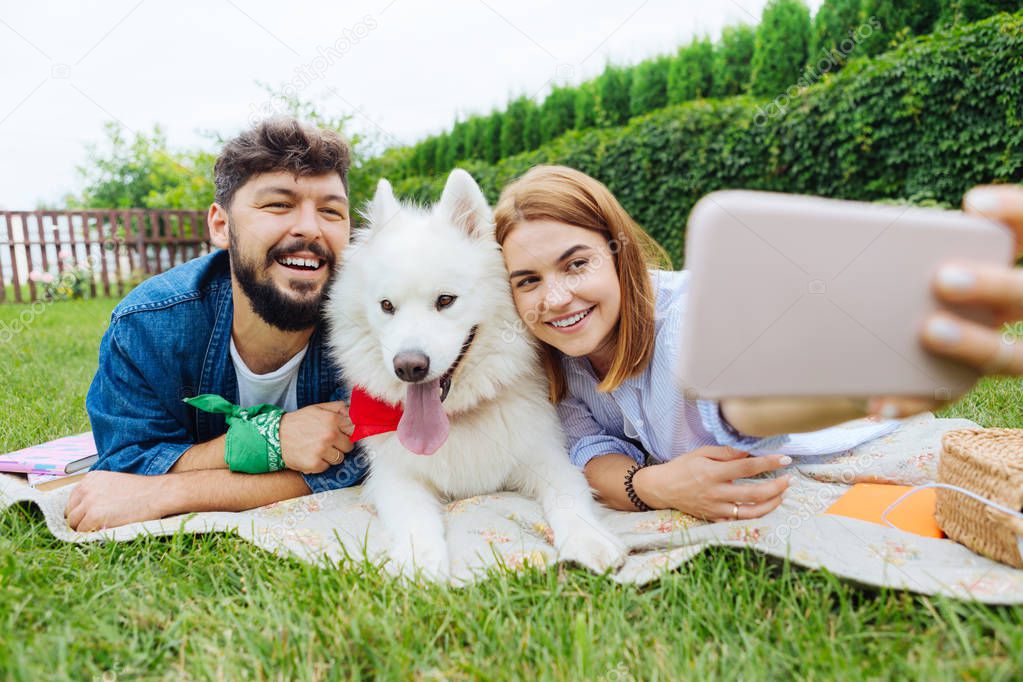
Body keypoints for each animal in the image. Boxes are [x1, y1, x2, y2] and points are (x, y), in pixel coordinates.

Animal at [327, 167, 626, 580]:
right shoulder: (395, 478)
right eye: (387, 306)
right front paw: (421, 563)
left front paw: (589, 541)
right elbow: (415, 520)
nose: (409, 366)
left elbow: (569, 496)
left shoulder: (549, 457)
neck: (456, 419)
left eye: (445, 300)